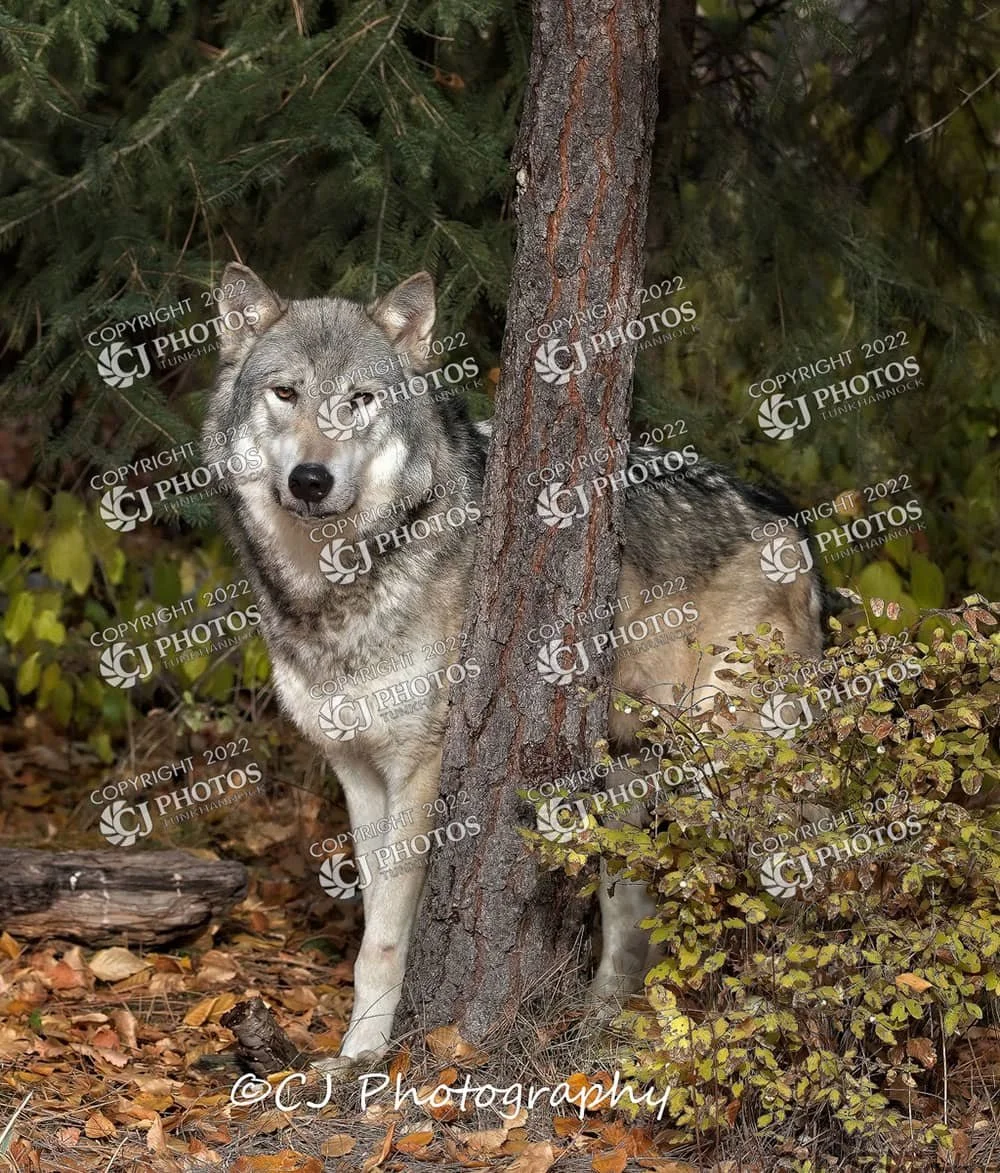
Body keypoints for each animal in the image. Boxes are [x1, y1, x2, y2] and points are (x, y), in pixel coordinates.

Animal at [203, 263, 827, 1070]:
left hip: (738, 774)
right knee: (633, 925)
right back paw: (595, 1031)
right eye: (286, 393)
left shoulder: (421, 771)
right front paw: (355, 1049)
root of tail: (792, 524)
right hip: (625, 783)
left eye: (360, 400)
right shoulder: (358, 774)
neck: (335, 588)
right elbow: (373, 922)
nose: (312, 479)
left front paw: (368, 1055)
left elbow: (383, 941)